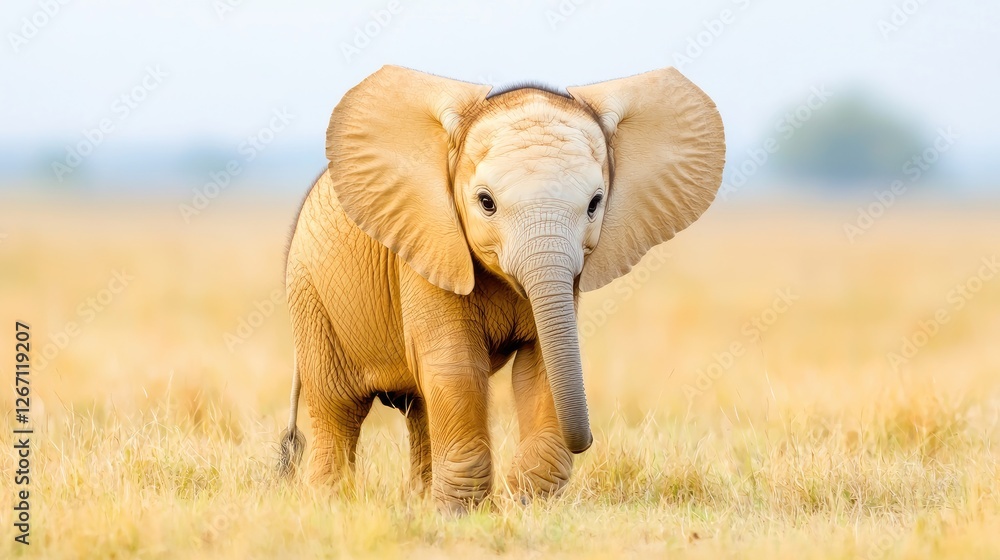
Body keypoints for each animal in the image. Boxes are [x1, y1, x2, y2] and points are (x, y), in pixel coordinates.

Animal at [277, 65, 724, 511]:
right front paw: (462, 513)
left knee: (419, 407)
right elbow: (456, 366)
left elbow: (541, 366)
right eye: (486, 202)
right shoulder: (428, 246)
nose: (589, 440)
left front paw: (523, 502)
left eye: (595, 203)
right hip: (310, 295)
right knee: (338, 409)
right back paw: (328, 503)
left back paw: (419, 501)